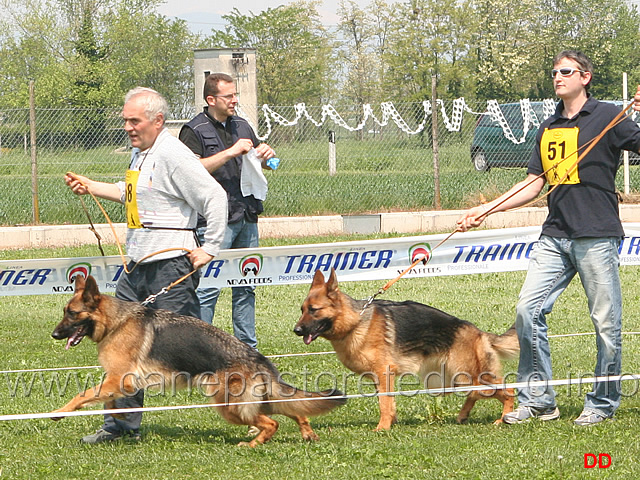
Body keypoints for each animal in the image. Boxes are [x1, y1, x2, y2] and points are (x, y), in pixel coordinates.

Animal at [51, 276, 344, 448]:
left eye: (72, 314)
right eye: (65, 312)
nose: (54, 335)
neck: (116, 321)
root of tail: (258, 358)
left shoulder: (119, 378)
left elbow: (83, 394)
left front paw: (59, 412)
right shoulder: (120, 382)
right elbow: (108, 402)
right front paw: (116, 419)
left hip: (230, 406)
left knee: (272, 423)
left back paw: (252, 445)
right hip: (251, 402)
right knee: (293, 409)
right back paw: (306, 432)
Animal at [296, 268, 520, 430]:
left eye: (314, 310)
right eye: (302, 310)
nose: (296, 330)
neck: (355, 322)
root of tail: (479, 332)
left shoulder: (383, 373)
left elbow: (384, 403)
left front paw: (382, 428)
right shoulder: (381, 378)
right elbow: (389, 402)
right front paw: (391, 423)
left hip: (467, 376)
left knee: (507, 390)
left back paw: (504, 418)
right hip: (455, 379)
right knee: (475, 394)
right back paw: (463, 416)